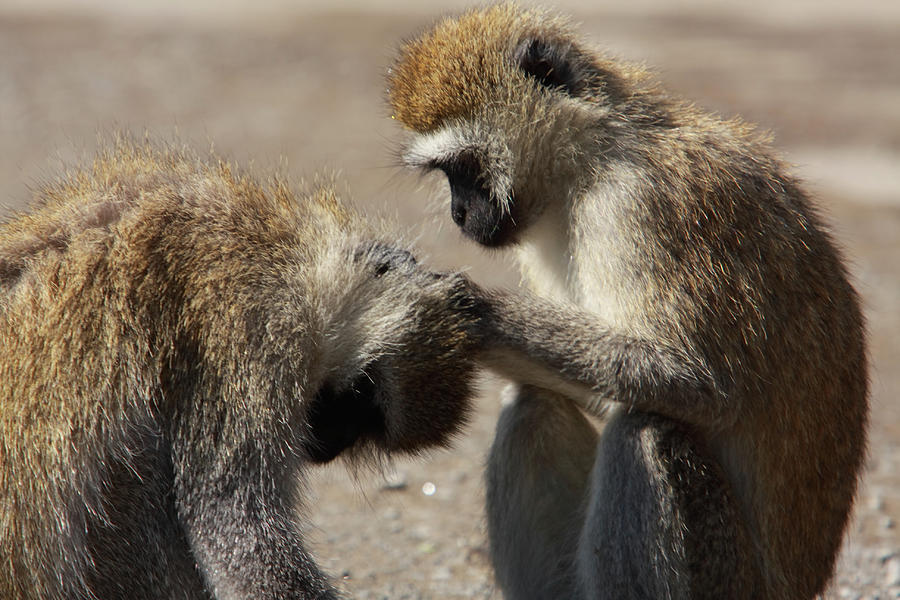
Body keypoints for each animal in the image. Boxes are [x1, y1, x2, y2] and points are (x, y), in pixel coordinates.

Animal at [1, 142, 478, 600]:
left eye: (369, 423)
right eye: (363, 396)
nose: (331, 445)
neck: (282, 251)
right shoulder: (258, 334)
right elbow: (231, 523)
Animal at [386, 4, 864, 600]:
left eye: (465, 167)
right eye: (446, 175)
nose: (457, 214)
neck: (590, 163)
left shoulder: (644, 203)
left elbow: (691, 378)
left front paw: (449, 298)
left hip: (729, 579)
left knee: (647, 430)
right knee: (533, 404)